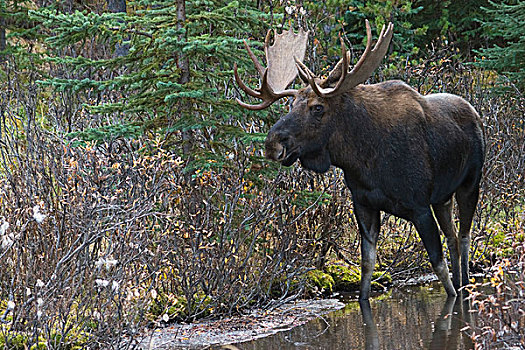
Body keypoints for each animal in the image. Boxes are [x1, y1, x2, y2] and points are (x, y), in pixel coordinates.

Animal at [232, 20, 484, 298]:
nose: (272, 143)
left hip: (470, 184)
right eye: (291, 104)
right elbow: (366, 267)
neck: (363, 161)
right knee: (453, 236)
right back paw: (462, 281)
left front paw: (454, 296)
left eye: (317, 107)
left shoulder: (419, 206)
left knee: (464, 235)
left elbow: (438, 266)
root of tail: (474, 112)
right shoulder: (364, 204)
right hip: (442, 197)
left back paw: (466, 284)